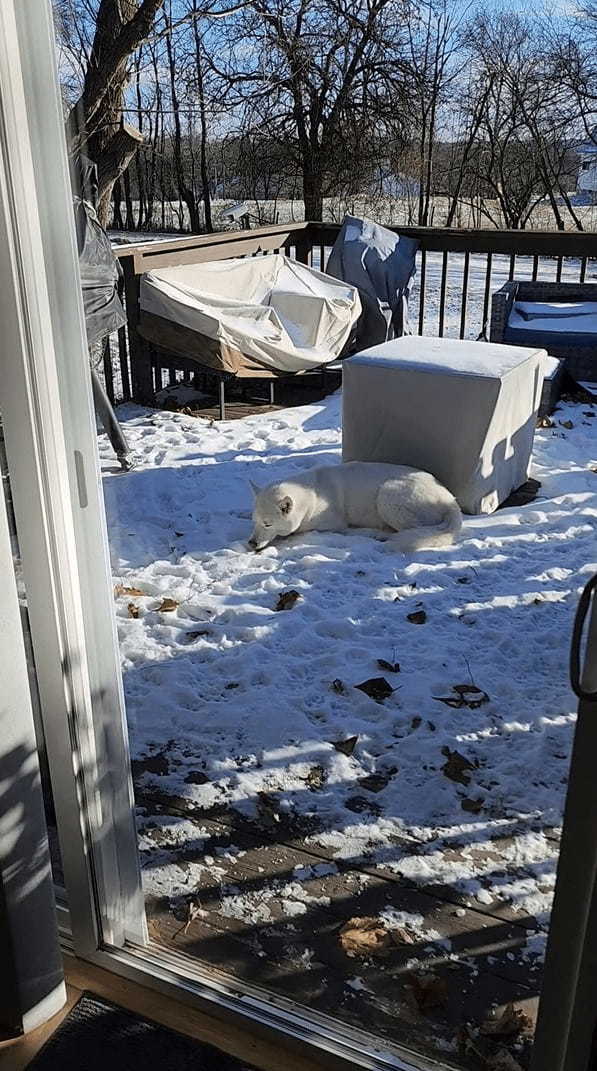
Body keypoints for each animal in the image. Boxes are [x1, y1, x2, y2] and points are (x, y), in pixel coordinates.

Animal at [246, 460, 460, 552]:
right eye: (254, 522)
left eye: (268, 524)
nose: (251, 544)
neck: (309, 494)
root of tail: (451, 500)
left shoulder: (330, 524)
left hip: (387, 495)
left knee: (413, 530)